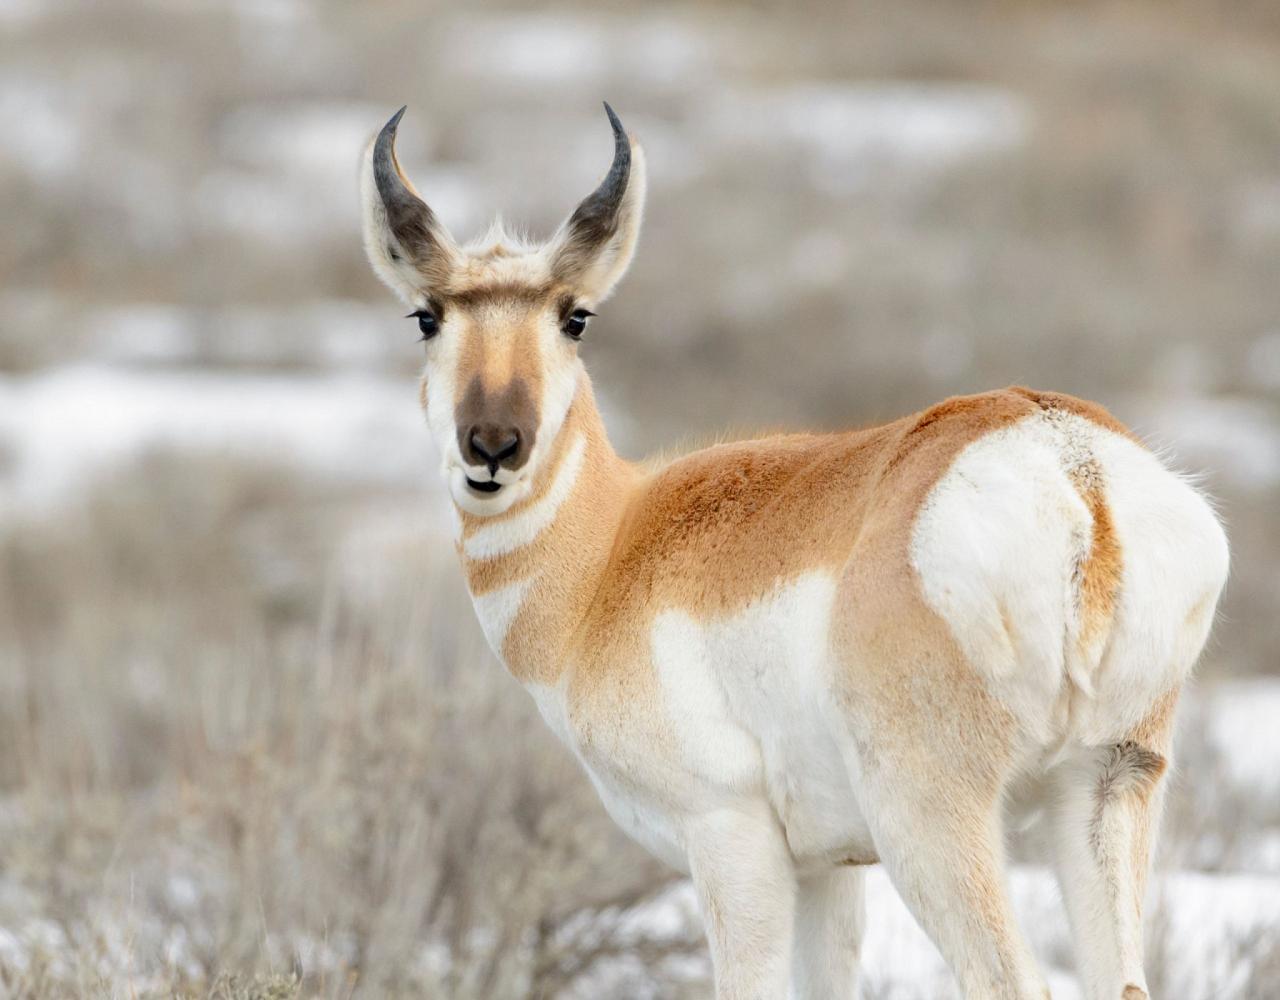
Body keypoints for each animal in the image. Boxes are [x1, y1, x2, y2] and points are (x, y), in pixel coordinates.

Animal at [358, 105, 1228, 993]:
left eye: (575, 316)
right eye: (427, 315)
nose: (494, 445)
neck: (614, 548)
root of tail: (1069, 464)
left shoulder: (731, 839)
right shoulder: (829, 869)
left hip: (929, 820)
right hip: (1105, 786)